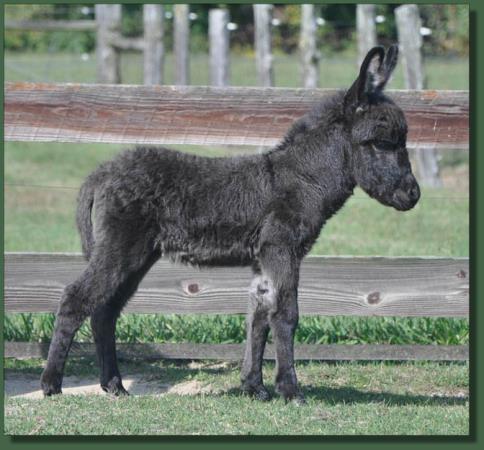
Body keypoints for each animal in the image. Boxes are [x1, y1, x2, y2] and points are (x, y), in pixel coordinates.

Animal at [40, 46, 420, 404]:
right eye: (381, 142)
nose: (413, 195)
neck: (299, 179)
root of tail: (102, 172)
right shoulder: (281, 248)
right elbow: (286, 314)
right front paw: (290, 391)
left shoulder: (262, 258)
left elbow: (258, 316)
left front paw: (255, 387)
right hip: (121, 248)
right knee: (76, 298)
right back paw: (51, 385)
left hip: (138, 256)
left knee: (105, 312)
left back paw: (115, 386)